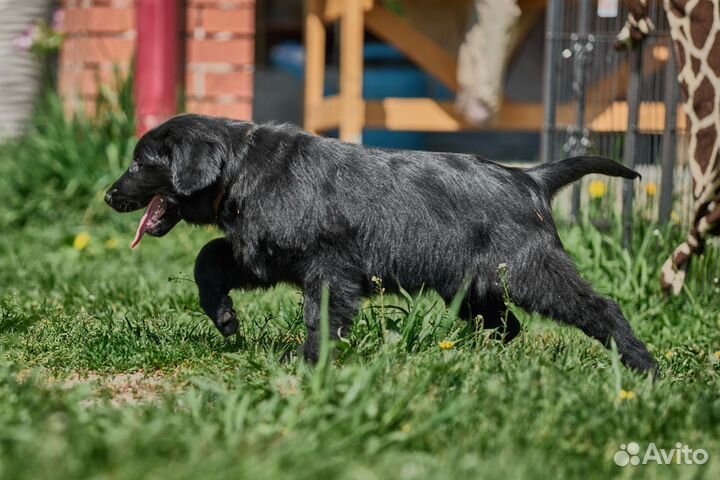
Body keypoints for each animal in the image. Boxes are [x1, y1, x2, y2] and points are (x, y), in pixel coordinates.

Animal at [105, 114, 660, 374]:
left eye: (138, 163)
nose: (109, 195)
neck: (241, 166)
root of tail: (531, 178)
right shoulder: (261, 254)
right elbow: (210, 258)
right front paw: (224, 318)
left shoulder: (329, 269)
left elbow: (321, 316)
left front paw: (310, 363)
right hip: (472, 287)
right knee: (507, 325)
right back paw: (468, 356)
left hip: (532, 270)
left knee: (599, 307)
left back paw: (643, 364)